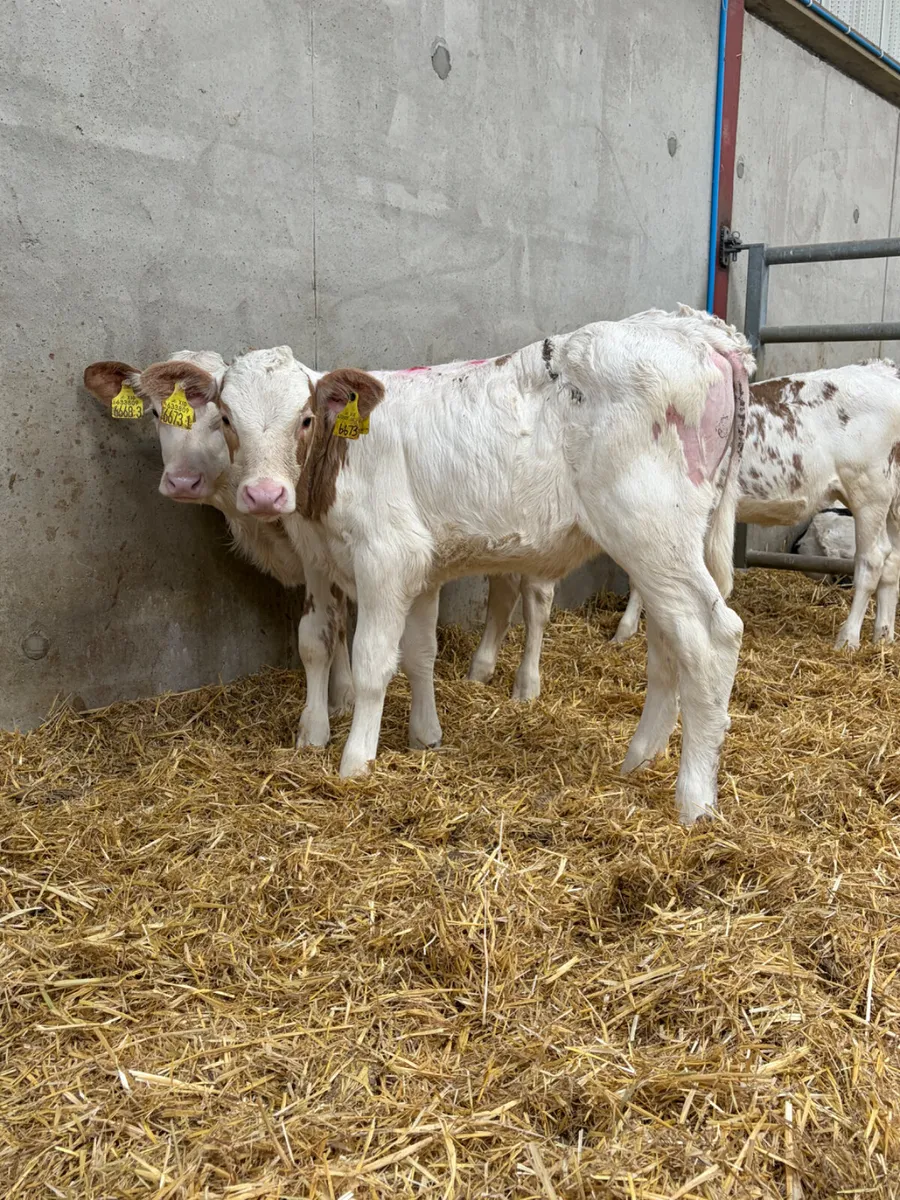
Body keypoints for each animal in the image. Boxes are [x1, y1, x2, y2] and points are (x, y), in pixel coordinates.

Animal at [167, 306, 754, 824]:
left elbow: (372, 660)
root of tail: (702, 332)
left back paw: (694, 800)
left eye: (305, 418)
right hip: (664, 547)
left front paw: (356, 760)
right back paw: (639, 758)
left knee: (711, 637)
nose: (265, 495)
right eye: (227, 419)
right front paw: (341, 734)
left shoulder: (387, 555)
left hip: (649, 529)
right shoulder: (347, 560)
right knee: (668, 641)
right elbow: (353, 643)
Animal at [613, 360, 900, 650]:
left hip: (868, 490)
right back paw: (883, 636)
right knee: (892, 560)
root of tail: (881, 368)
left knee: (872, 560)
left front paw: (626, 628)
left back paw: (848, 638)